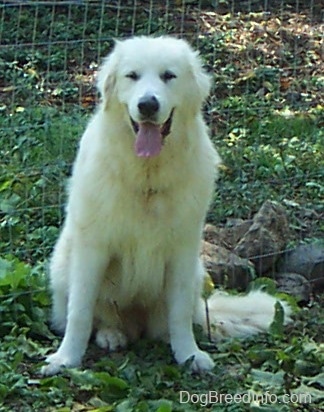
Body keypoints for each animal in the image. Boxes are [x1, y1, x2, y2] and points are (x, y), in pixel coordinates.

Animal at [40, 37, 292, 374]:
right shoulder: (92, 248)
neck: (148, 176)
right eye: (132, 76)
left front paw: (189, 355)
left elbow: (180, 315)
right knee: (98, 315)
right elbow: (79, 312)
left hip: (195, 273)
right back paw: (111, 335)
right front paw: (65, 359)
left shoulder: (182, 252)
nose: (148, 104)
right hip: (62, 263)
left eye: (168, 76)